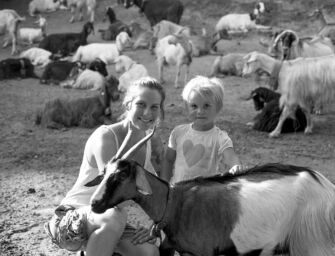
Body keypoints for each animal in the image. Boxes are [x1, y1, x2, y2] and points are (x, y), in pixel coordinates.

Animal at [85, 129, 335, 256]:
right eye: (104, 173)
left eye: (121, 175)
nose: (95, 203)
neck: (174, 204)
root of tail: (325, 186)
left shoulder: (205, 253)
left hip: (312, 244)